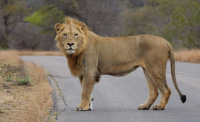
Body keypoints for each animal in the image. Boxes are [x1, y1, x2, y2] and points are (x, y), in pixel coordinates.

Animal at [54, 16, 186, 111]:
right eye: (65, 34)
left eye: (75, 35)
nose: (70, 44)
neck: (77, 51)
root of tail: (165, 41)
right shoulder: (83, 73)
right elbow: (86, 91)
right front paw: (88, 106)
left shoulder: (90, 71)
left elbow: (85, 91)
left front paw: (83, 107)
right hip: (147, 70)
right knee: (154, 91)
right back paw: (144, 106)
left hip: (155, 69)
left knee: (166, 89)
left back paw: (160, 107)